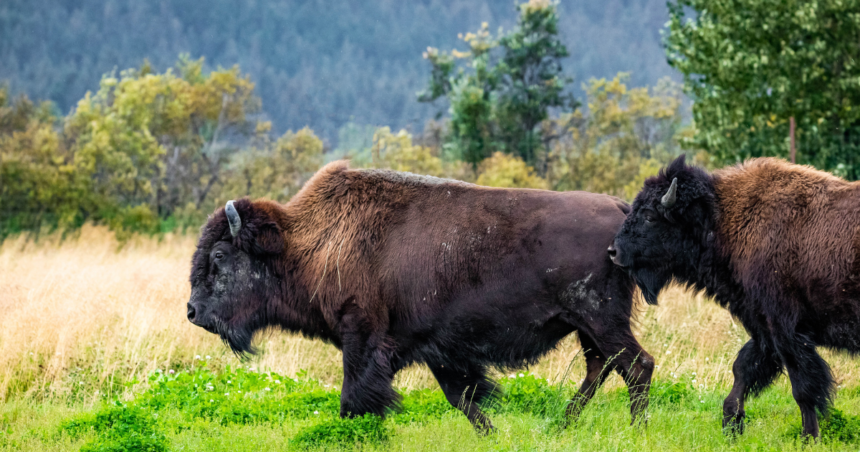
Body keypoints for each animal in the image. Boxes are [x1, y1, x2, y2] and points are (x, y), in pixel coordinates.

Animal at [188, 161, 656, 430]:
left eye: (218, 255)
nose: (192, 311)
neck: (311, 242)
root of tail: (619, 209)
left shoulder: (362, 336)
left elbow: (355, 396)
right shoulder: (437, 347)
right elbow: (461, 396)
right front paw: (491, 432)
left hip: (600, 319)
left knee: (636, 366)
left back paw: (634, 431)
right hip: (587, 326)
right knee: (602, 367)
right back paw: (563, 425)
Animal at [608, 155, 860, 438]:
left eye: (650, 216)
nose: (614, 252)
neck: (722, 220)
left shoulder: (784, 330)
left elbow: (803, 389)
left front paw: (809, 438)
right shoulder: (762, 328)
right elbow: (743, 369)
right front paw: (732, 422)